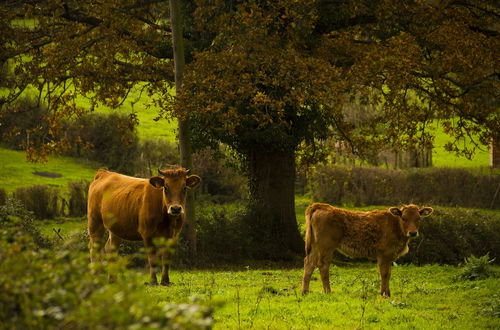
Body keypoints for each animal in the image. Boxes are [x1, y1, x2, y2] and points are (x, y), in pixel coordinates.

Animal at [300, 204, 434, 296]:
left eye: (418, 218)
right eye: (404, 218)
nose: (413, 232)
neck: (395, 225)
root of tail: (321, 205)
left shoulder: (389, 256)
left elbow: (389, 273)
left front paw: (388, 293)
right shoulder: (384, 254)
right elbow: (384, 274)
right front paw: (384, 294)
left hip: (315, 246)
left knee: (309, 264)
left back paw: (305, 292)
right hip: (326, 246)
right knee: (323, 265)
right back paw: (328, 291)